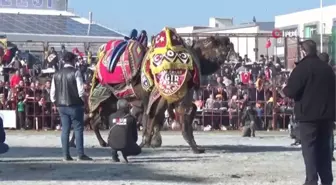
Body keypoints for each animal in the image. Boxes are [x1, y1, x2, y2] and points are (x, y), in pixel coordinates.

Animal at [71, 27, 238, 152]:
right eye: (219, 43)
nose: (229, 41)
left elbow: (159, 117)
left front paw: (152, 141)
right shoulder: (157, 96)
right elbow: (156, 116)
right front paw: (149, 142)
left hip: (110, 101)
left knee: (93, 118)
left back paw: (97, 142)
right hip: (103, 97)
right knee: (90, 116)